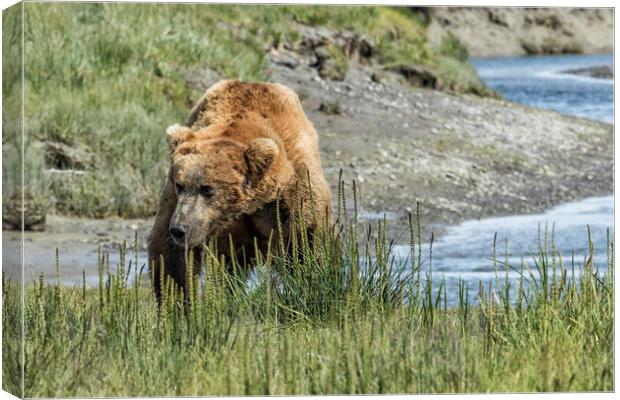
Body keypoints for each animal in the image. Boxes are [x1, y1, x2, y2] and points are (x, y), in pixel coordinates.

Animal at [147, 79, 334, 296]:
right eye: (180, 184)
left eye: (207, 188)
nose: (179, 229)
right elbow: (172, 257)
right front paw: (176, 297)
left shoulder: (295, 191)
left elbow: (308, 242)